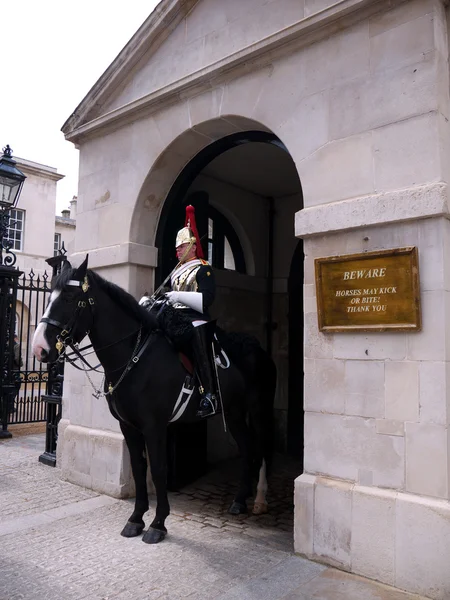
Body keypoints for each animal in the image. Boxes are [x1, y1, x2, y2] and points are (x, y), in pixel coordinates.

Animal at [31, 258, 276, 544]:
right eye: (50, 296)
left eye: (69, 298)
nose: (39, 348)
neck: (134, 356)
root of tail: (258, 348)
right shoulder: (129, 426)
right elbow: (138, 468)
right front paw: (136, 519)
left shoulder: (155, 426)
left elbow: (158, 469)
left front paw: (158, 524)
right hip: (235, 413)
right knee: (247, 447)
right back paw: (239, 501)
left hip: (259, 410)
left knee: (262, 448)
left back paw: (259, 500)